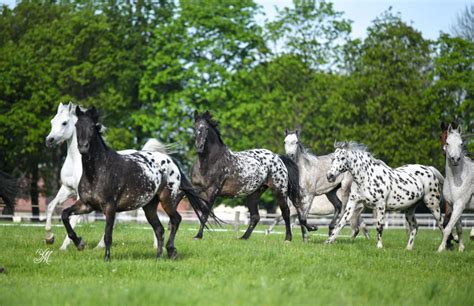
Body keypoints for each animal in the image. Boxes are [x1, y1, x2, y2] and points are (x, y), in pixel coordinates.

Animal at [45, 101, 167, 250]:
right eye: (52, 121)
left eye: (64, 123)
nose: (49, 140)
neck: (76, 162)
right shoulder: (67, 189)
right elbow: (51, 206)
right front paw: (49, 237)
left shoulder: (81, 197)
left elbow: (73, 219)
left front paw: (67, 246)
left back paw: (156, 245)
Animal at [64, 107, 216, 260]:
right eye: (77, 126)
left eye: (91, 126)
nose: (83, 147)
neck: (98, 171)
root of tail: (172, 161)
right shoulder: (86, 205)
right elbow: (65, 215)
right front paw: (79, 243)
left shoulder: (109, 207)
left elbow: (108, 235)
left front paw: (106, 258)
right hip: (149, 206)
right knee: (159, 228)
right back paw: (158, 256)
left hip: (167, 200)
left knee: (175, 220)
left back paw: (171, 250)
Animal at [189, 110, 314, 241]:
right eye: (194, 127)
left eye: (207, 128)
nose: (199, 147)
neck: (210, 162)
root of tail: (278, 157)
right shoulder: (196, 190)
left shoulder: (212, 191)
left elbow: (204, 214)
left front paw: (198, 236)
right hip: (254, 194)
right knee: (255, 216)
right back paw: (243, 237)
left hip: (279, 191)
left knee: (286, 212)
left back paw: (288, 238)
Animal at [438, 123, 472, 252]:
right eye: (447, 143)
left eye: (461, 143)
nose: (455, 159)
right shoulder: (453, 206)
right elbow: (458, 228)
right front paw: (461, 248)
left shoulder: (459, 205)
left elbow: (448, 227)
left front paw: (440, 249)